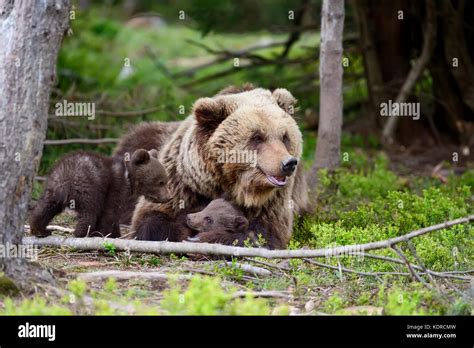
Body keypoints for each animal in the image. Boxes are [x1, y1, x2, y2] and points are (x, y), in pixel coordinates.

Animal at [29, 148, 170, 238]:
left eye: (165, 180)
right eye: (161, 182)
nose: (168, 197)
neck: (129, 178)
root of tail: (67, 177)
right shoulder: (116, 187)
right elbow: (109, 213)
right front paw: (107, 234)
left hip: (52, 188)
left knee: (45, 208)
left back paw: (40, 230)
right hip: (89, 187)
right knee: (90, 211)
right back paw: (82, 233)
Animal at [113, 84, 310, 249]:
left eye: (284, 136)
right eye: (257, 137)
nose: (288, 163)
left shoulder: (273, 202)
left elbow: (264, 235)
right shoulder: (181, 182)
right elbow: (153, 219)